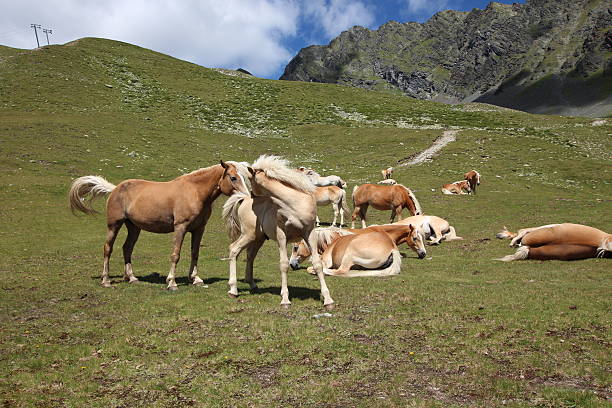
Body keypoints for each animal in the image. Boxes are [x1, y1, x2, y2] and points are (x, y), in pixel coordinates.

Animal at [70, 161, 252, 288]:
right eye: (233, 177)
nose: (246, 197)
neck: (195, 192)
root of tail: (116, 189)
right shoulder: (180, 228)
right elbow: (175, 254)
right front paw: (171, 282)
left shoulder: (199, 229)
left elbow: (195, 253)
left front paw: (196, 279)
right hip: (114, 225)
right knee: (108, 248)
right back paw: (106, 280)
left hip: (134, 227)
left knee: (127, 248)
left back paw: (132, 278)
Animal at [221, 156, 334, 310]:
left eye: (249, 180)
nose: (252, 195)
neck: (294, 203)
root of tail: (244, 200)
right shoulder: (282, 236)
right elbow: (284, 265)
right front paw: (285, 299)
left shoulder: (309, 233)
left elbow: (317, 264)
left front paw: (328, 300)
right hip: (248, 235)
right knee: (234, 249)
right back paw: (233, 290)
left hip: (258, 238)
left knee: (250, 256)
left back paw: (252, 284)